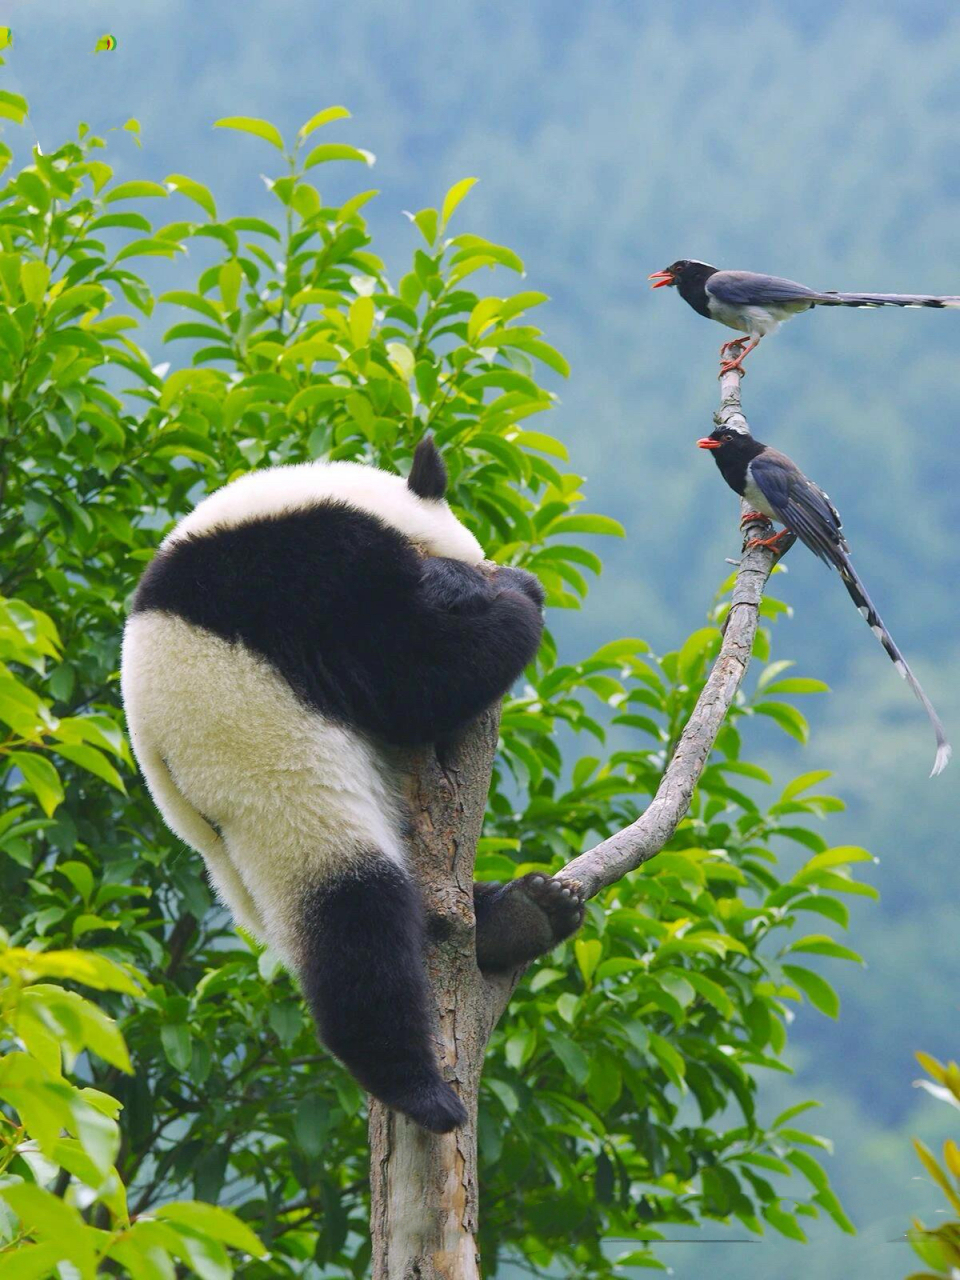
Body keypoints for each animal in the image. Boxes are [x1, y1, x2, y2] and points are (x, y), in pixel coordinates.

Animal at [120, 437, 586, 1131]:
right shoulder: (307, 572)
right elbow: (412, 675)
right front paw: (513, 595)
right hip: (276, 789)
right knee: (355, 918)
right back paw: (418, 1087)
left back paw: (525, 913)